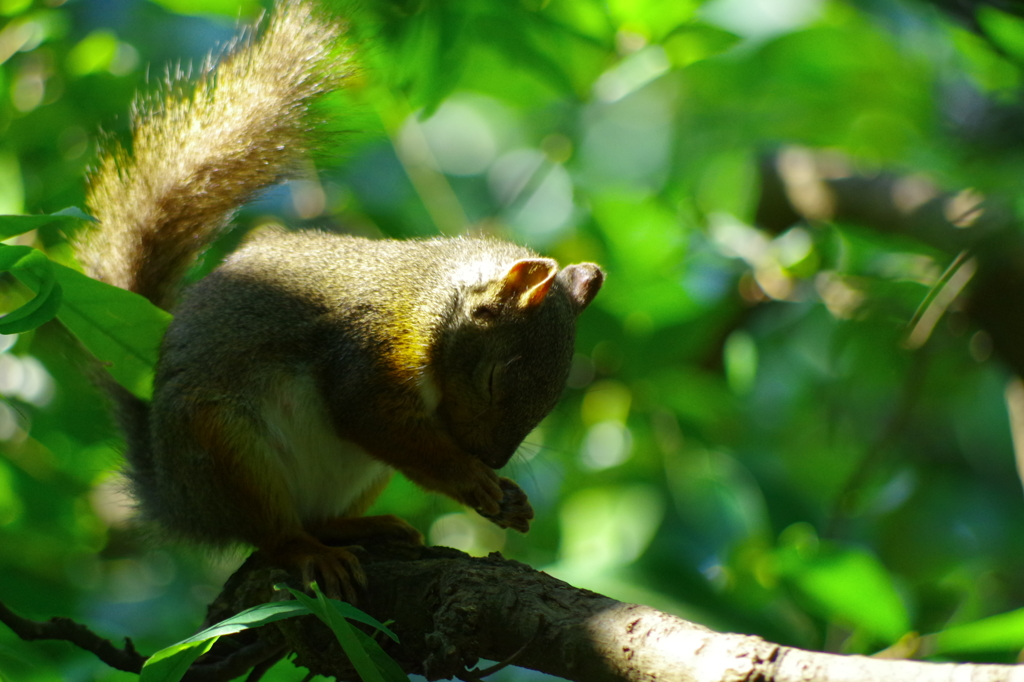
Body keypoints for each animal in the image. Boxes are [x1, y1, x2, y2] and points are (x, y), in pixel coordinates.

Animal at [75, 0, 602, 598]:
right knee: (274, 533)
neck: (429, 306)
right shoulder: (370, 348)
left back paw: (363, 527)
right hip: (223, 445)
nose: (492, 457)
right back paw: (311, 553)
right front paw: (476, 481)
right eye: (493, 379)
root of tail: (179, 500)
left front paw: (511, 499)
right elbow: (371, 417)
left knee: (317, 518)